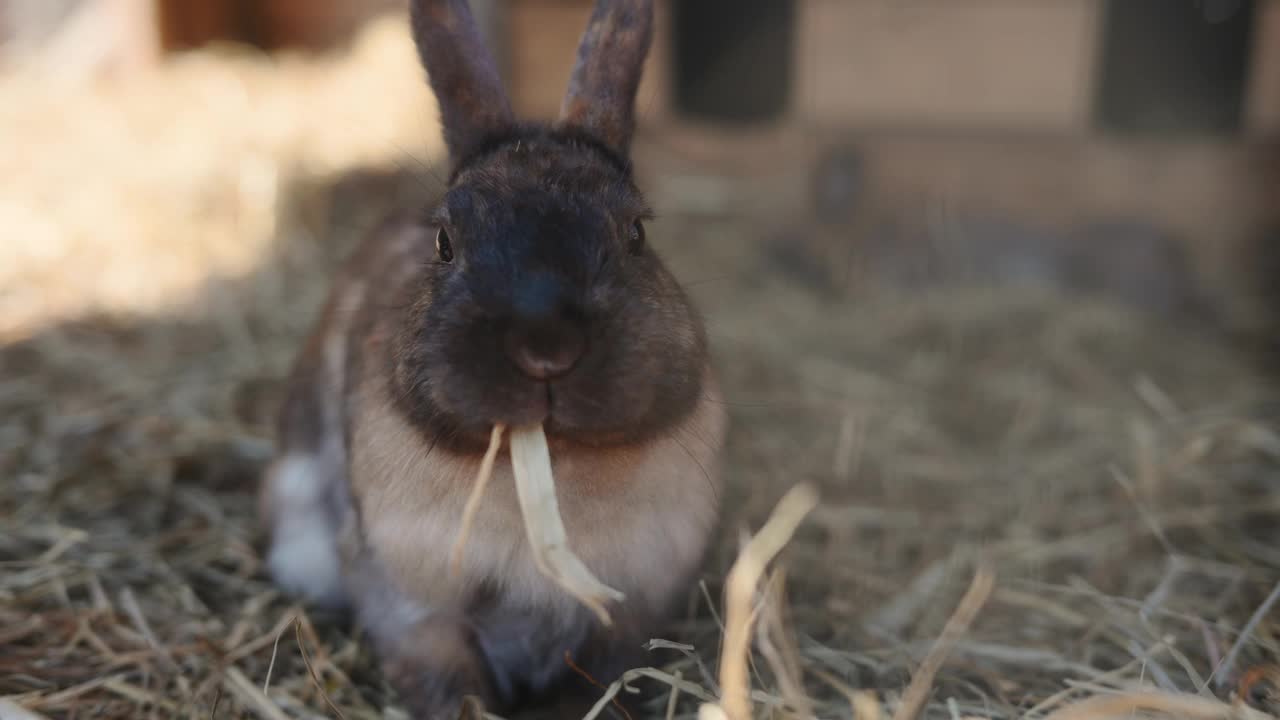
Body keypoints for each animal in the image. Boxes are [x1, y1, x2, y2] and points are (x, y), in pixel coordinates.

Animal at [257, 1, 732, 717]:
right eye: (445, 241)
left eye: (636, 234)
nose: (545, 349)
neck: (550, 461)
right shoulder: (416, 606)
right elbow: (450, 681)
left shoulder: (630, 608)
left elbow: (596, 683)